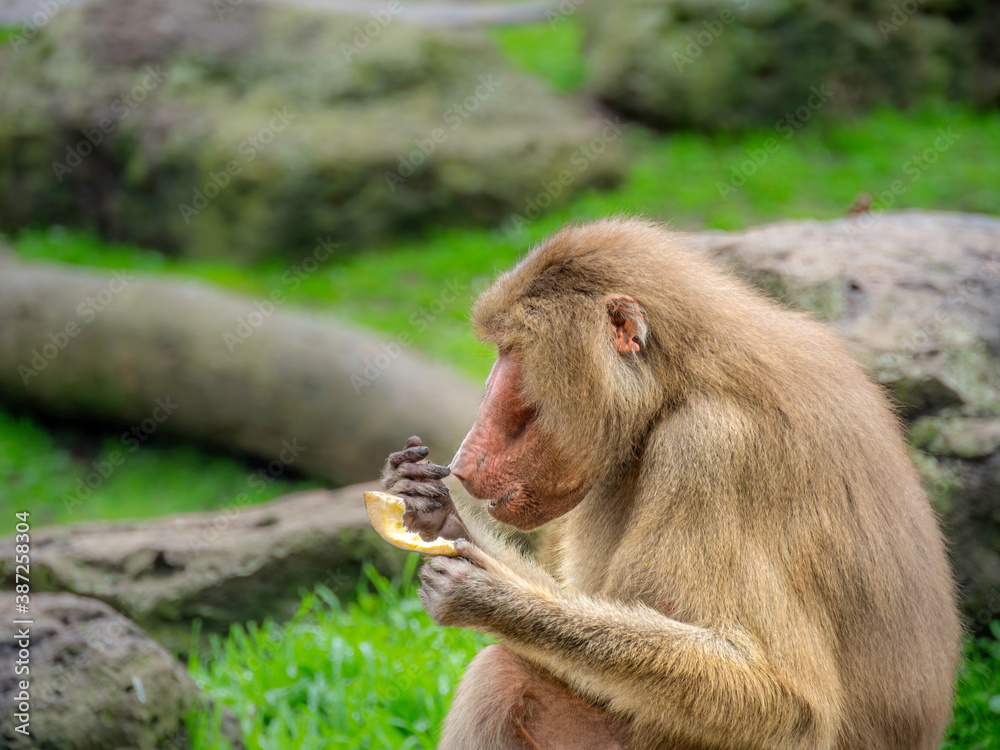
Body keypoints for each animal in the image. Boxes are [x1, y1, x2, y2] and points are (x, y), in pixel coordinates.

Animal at [380, 218, 961, 750]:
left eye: (511, 351)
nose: (464, 459)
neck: (680, 381)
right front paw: (434, 513)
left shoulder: (712, 449)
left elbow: (788, 704)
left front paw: (491, 597)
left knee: (498, 678)